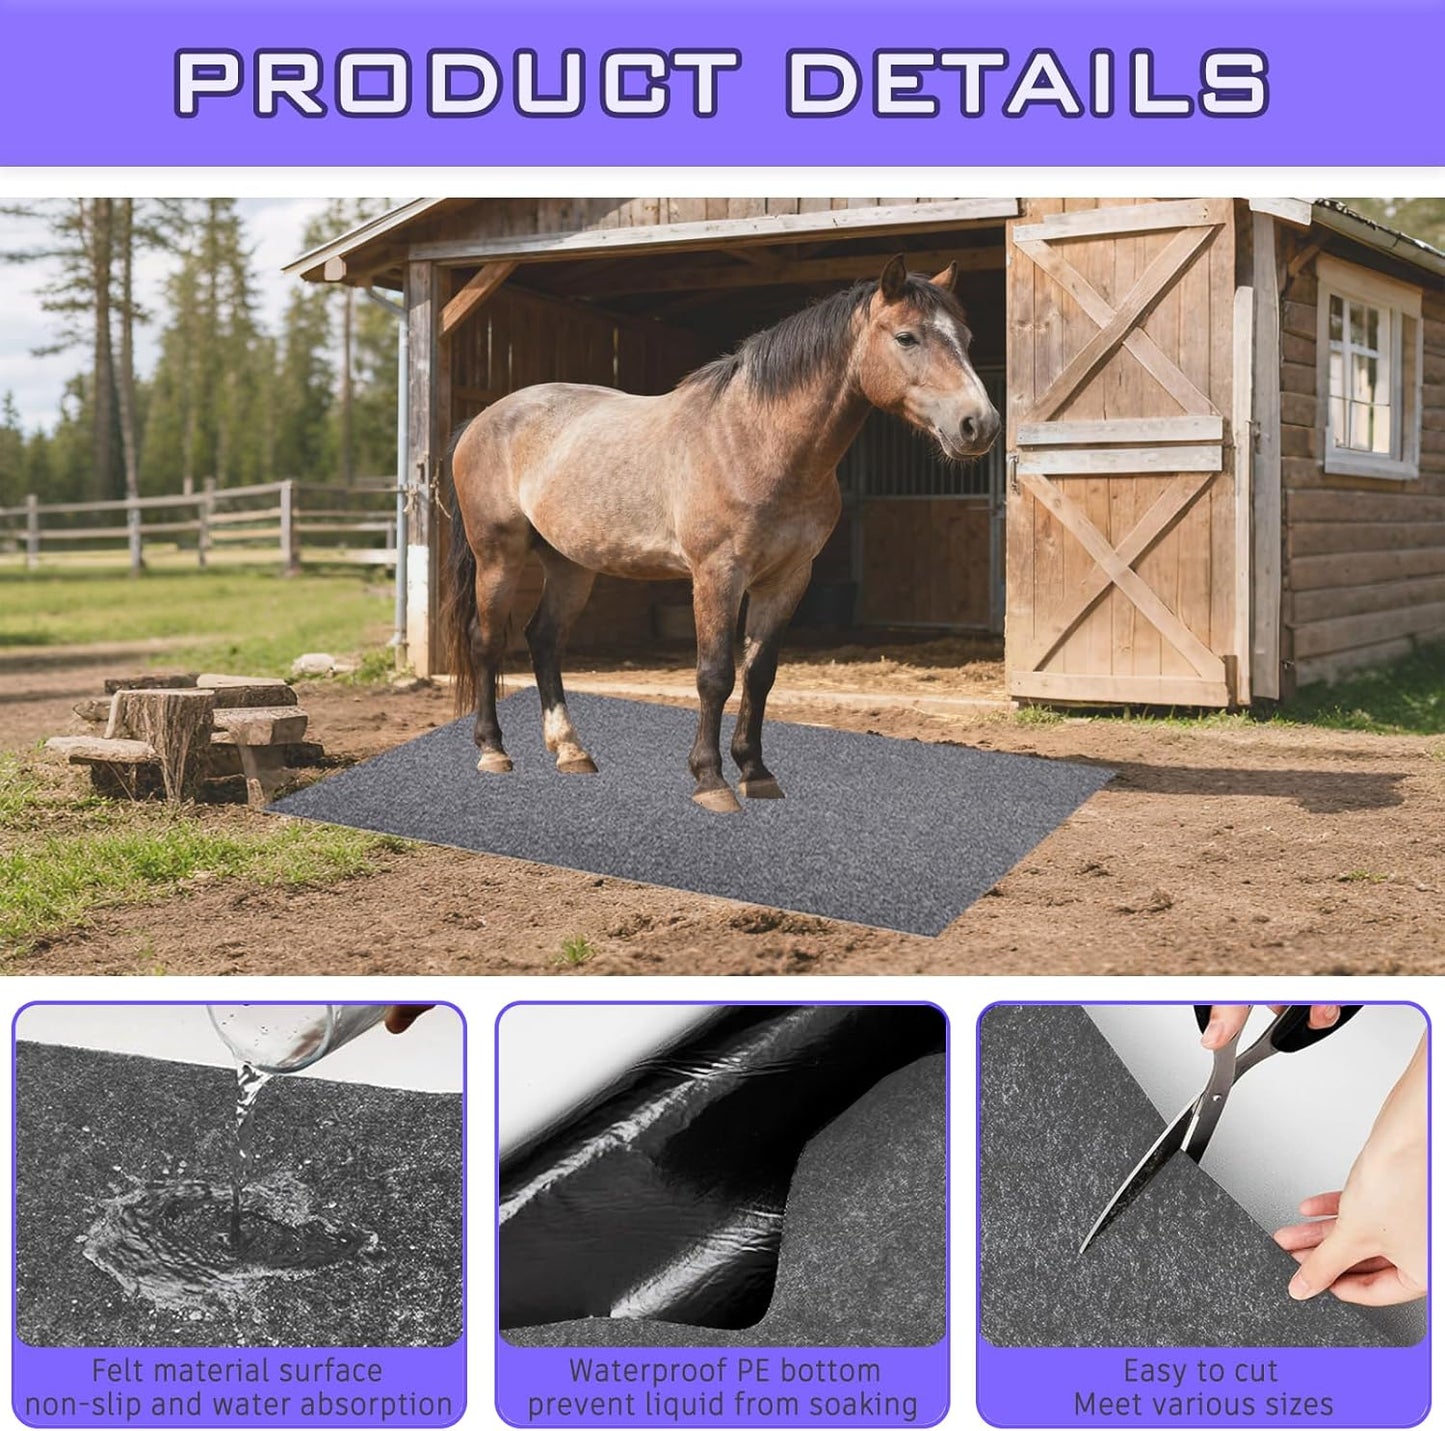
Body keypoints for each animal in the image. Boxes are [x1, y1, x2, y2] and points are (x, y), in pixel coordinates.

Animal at [442, 255, 1000, 813]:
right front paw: (710, 779)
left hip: (570, 564)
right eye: (906, 337)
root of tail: (482, 418)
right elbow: (715, 675)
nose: (980, 425)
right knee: (487, 640)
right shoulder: (718, 574)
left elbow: (759, 673)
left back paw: (571, 751)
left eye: (967, 337)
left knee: (545, 639)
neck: (754, 441)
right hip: (498, 554)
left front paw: (756, 771)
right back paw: (493, 751)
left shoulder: (787, 578)